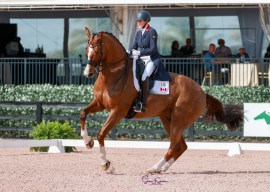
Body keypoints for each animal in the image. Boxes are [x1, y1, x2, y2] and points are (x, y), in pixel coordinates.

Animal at [79, 27, 243, 174]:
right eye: (87, 48)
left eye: (97, 50)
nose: (88, 73)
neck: (115, 74)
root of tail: (202, 92)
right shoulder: (99, 103)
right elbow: (83, 113)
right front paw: (87, 142)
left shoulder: (118, 111)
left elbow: (101, 134)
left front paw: (106, 164)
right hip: (167, 118)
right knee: (181, 146)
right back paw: (161, 168)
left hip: (179, 121)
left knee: (174, 146)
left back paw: (153, 168)